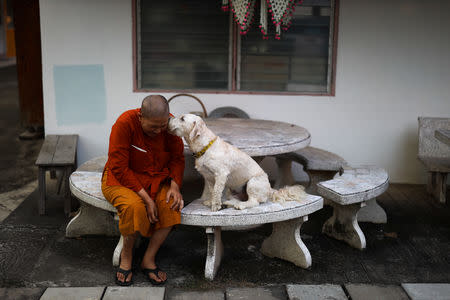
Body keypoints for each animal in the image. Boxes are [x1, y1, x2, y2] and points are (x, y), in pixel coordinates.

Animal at [167, 113, 308, 212]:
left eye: (182, 118)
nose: (168, 119)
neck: (205, 147)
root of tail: (270, 190)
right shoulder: (209, 178)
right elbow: (213, 192)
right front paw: (211, 202)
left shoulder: (221, 174)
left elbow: (217, 192)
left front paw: (215, 206)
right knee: (236, 198)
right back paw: (229, 203)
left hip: (252, 183)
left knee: (254, 202)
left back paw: (240, 205)